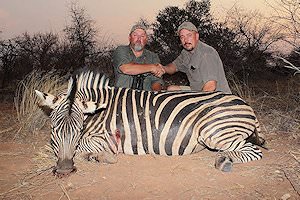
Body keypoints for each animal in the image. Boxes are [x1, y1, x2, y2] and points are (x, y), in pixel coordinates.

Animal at [34, 69, 264, 176]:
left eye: (79, 128)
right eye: (54, 129)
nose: (64, 170)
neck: (98, 113)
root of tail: (245, 104)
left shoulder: (108, 139)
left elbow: (82, 147)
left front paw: (100, 157)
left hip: (214, 132)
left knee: (252, 151)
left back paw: (224, 160)